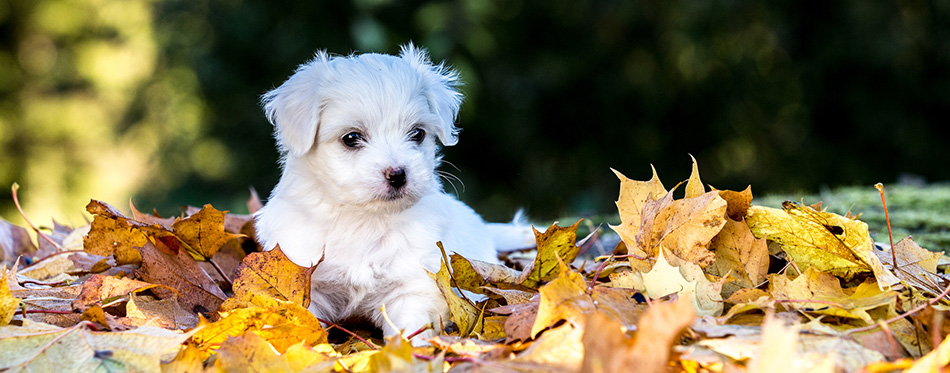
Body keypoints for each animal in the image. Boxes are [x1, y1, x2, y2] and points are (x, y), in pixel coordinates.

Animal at [253, 43, 536, 340]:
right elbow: (302, 322)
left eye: (417, 133)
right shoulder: (305, 279)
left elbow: (409, 329)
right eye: (351, 138)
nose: (398, 175)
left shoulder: (412, 287)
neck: (362, 220)